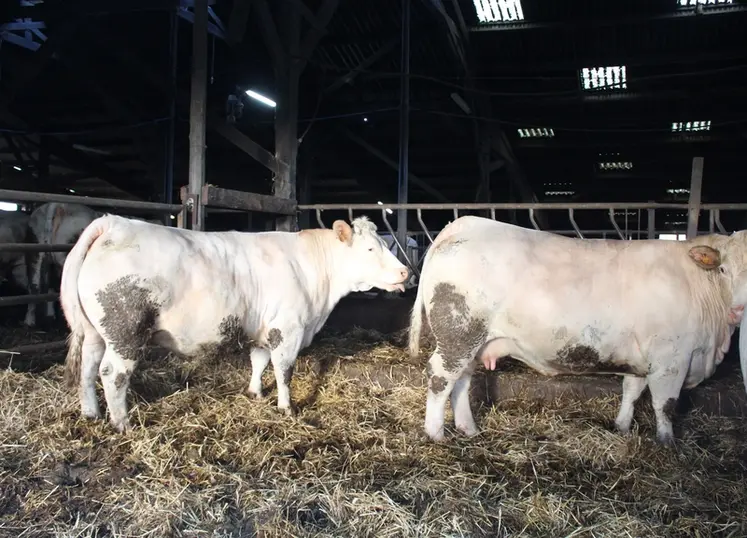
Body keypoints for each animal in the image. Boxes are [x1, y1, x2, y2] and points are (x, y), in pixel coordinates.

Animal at [60, 215, 409, 432]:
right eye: (370, 248)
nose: (405, 272)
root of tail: (114, 222)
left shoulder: (264, 328)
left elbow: (259, 361)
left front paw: (255, 393)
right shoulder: (288, 328)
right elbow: (284, 371)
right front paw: (286, 407)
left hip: (95, 332)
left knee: (87, 368)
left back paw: (91, 413)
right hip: (126, 331)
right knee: (112, 373)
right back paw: (123, 423)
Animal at [408, 215, 747, 446]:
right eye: (723, 269)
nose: (739, 310)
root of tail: (465, 224)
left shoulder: (642, 356)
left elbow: (631, 391)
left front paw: (621, 426)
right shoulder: (671, 358)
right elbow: (665, 404)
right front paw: (666, 443)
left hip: (472, 339)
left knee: (462, 380)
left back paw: (469, 428)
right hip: (458, 335)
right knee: (440, 378)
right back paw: (436, 434)